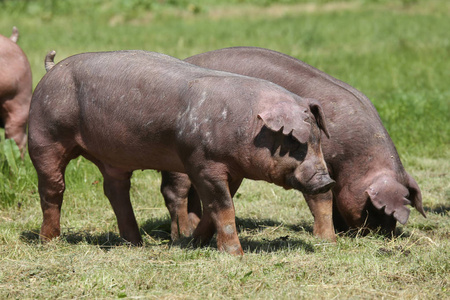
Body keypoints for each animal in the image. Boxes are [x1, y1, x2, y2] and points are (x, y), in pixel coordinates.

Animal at [32, 50, 334, 254]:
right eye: (295, 143)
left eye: (318, 139)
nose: (326, 180)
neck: (245, 125)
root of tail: (51, 69)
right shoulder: (203, 161)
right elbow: (223, 206)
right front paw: (235, 255)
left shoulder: (233, 170)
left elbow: (214, 208)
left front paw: (193, 243)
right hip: (44, 134)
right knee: (52, 188)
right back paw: (50, 242)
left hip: (111, 160)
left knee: (116, 190)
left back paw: (136, 244)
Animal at [157, 45, 426, 240]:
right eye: (375, 208)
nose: (385, 235)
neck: (355, 159)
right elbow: (321, 197)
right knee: (174, 191)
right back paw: (183, 234)